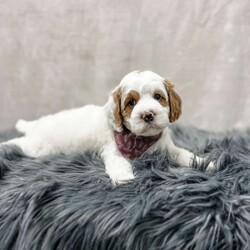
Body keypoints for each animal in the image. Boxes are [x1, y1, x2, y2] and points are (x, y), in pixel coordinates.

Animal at [1, 70, 213, 184]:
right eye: (131, 103)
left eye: (158, 97)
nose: (148, 115)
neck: (140, 139)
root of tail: (37, 124)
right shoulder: (113, 149)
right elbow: (118, 163)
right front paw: (124, 177)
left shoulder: (167, 147)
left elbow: (183, 154)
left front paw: (204, 163)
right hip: (39, 147)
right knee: (19, 142)